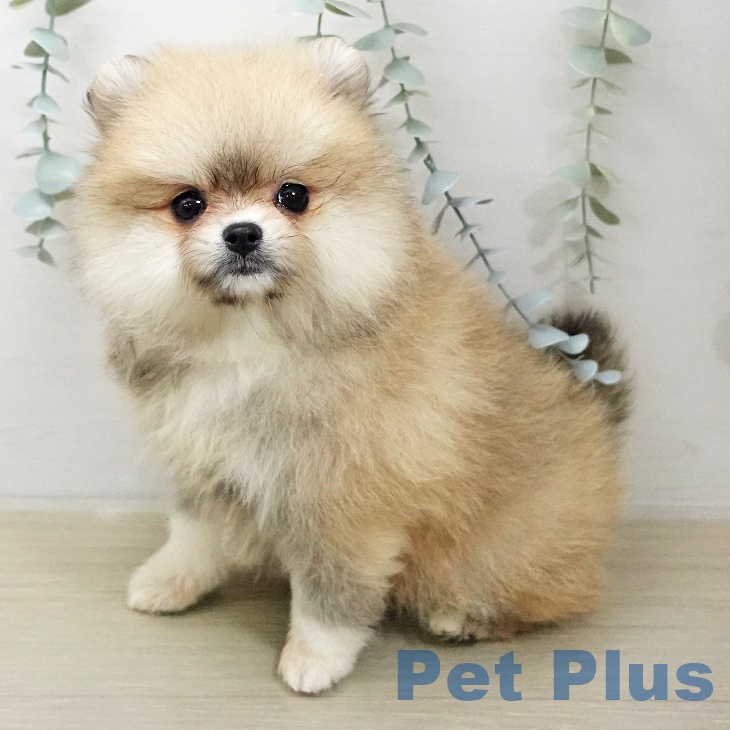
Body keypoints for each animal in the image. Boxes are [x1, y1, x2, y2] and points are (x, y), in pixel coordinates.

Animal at [72, 38, 629, 694]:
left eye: (293, 196)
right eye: (188, 205)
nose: (243, 233)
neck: (254, 337)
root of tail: (595, 416)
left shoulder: (341, 496)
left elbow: (328, 592)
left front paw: (314, 659)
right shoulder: (204, 460)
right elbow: (193, 535)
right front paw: (169, 582)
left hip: (500, 549)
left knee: (545, 593)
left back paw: (462, 617)